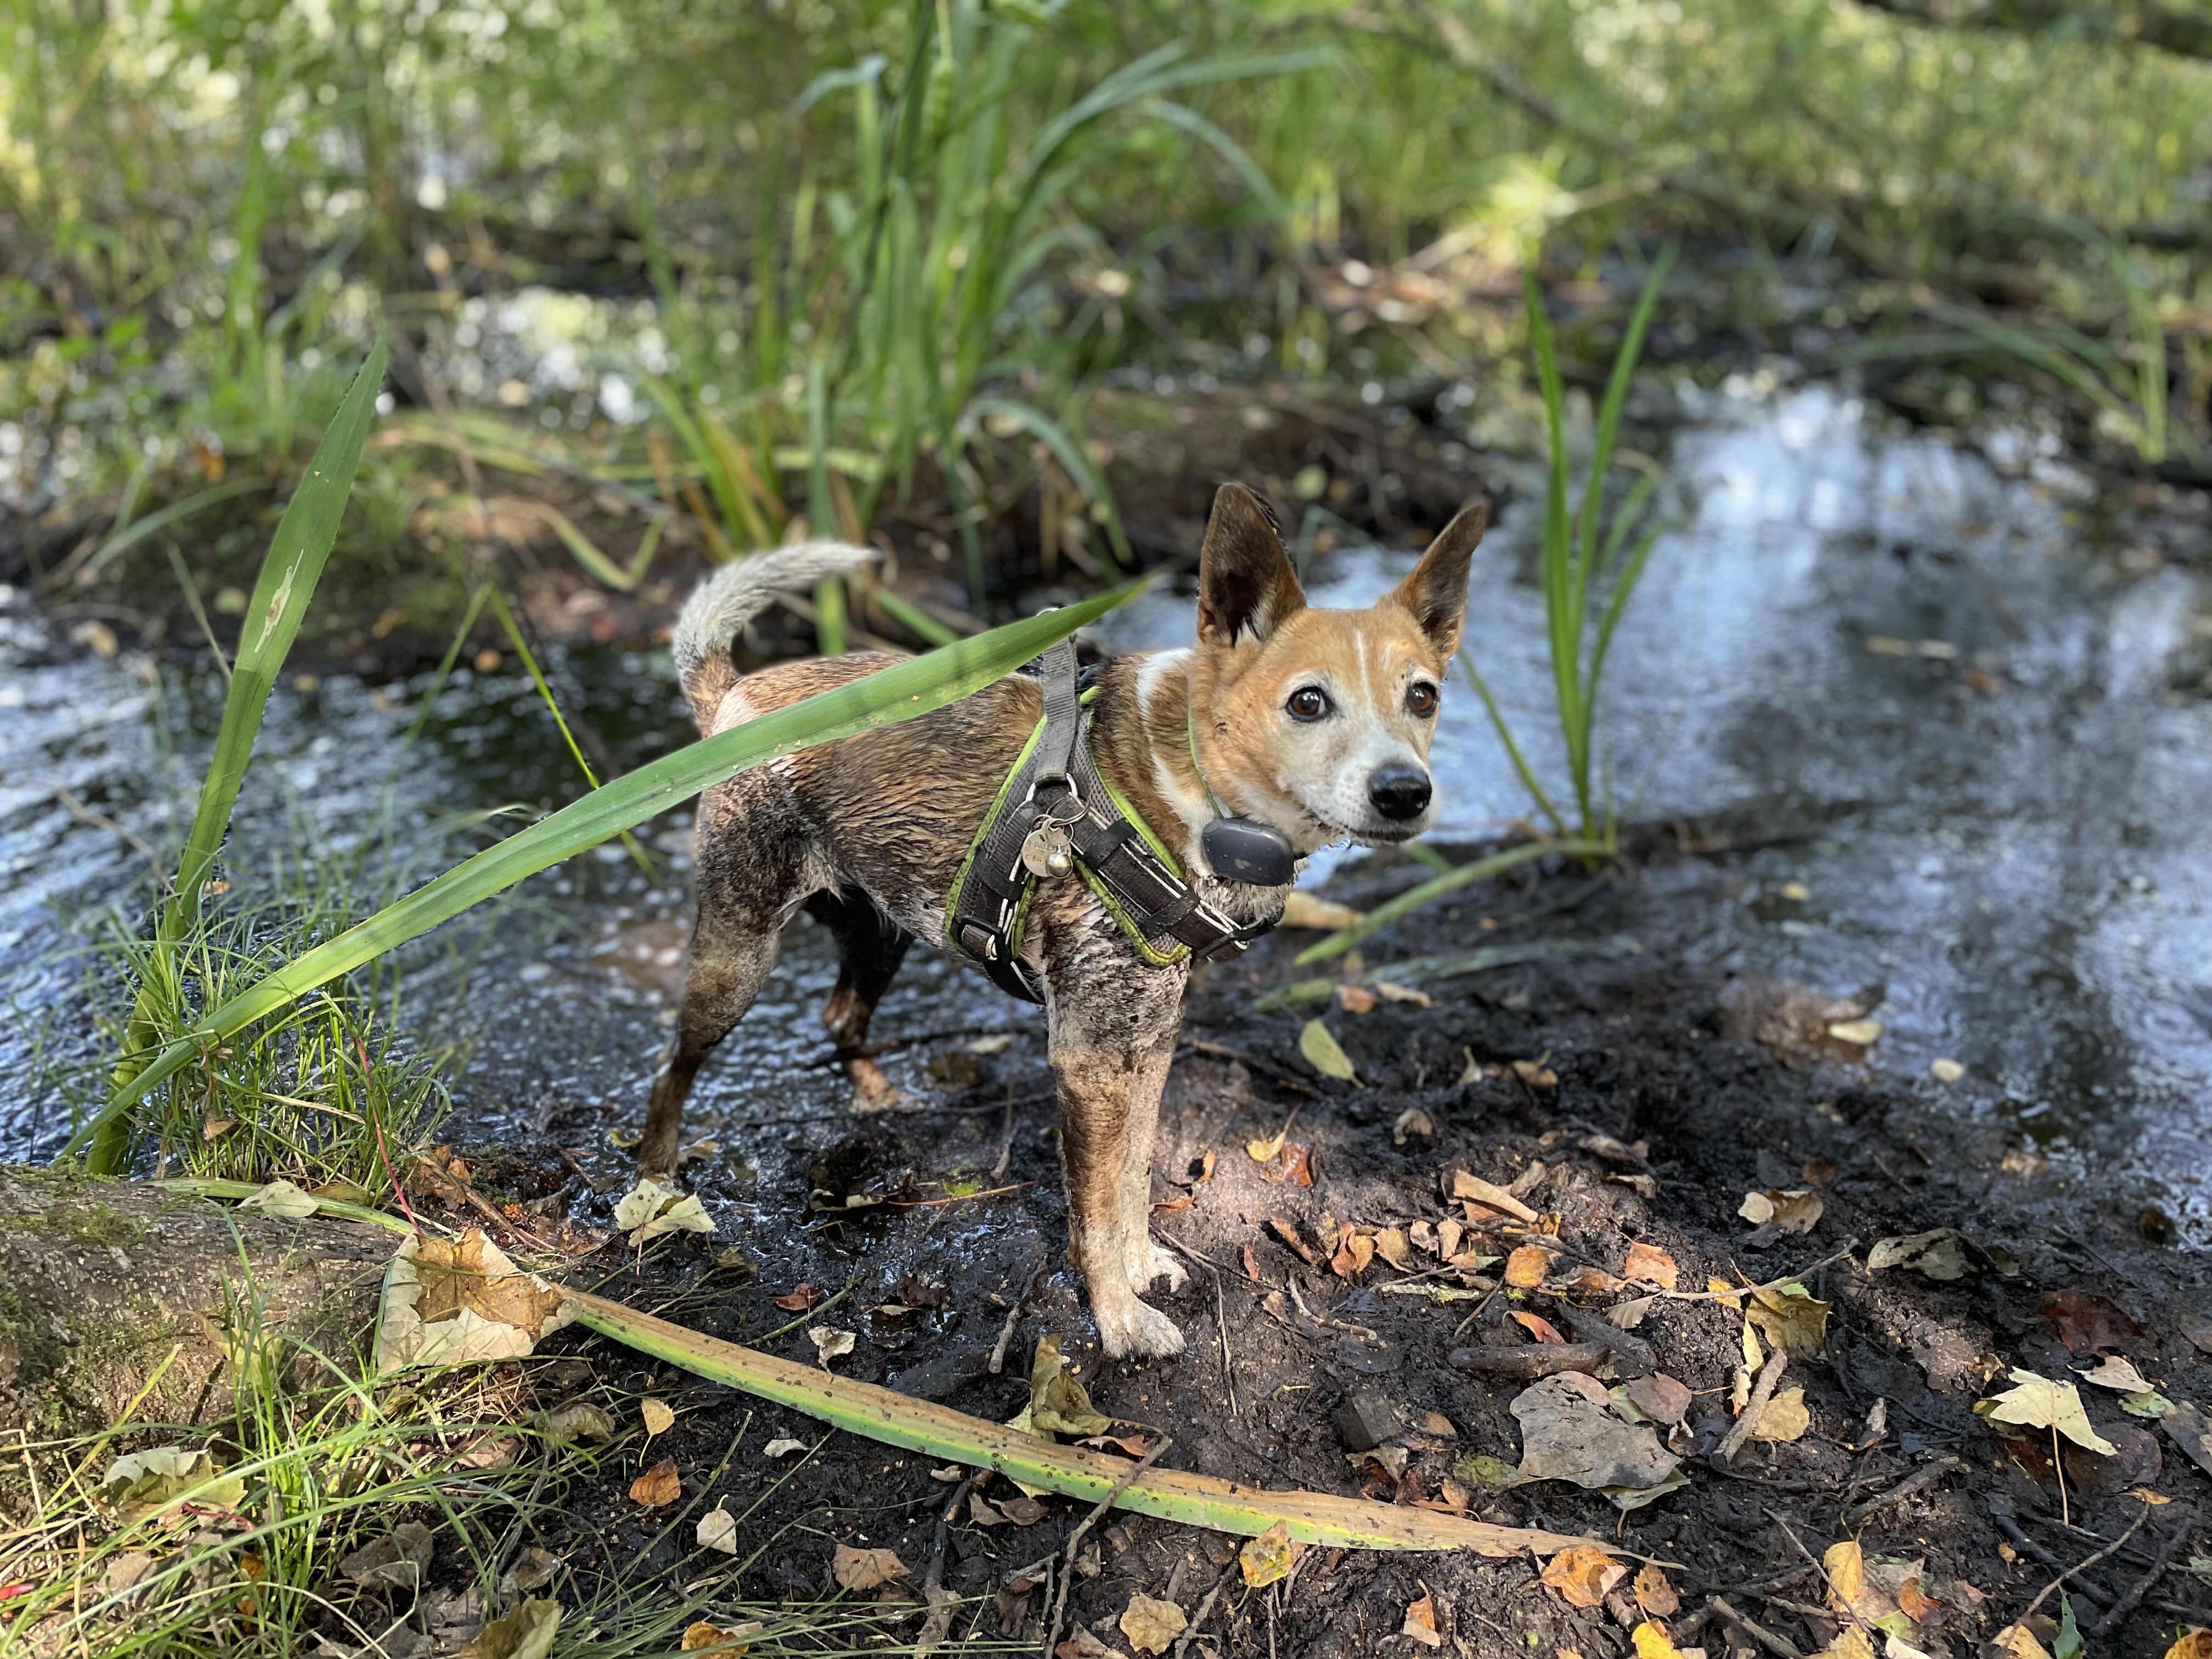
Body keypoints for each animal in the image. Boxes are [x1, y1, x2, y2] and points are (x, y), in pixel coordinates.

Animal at [646, 484, 1495, 1362]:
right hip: (738, 955)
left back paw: (877, 1099)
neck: (1192, 785)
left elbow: (1131, 1181)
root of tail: (731, 697)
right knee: (672, 1068)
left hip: (879, 937)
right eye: (1307, 702)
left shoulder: (1148, 1044)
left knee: (840, 1014)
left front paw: (1141, 1265)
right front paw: (1118, 1320)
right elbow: (1093, 1213)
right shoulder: (1090, 1059)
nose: (1406, 792)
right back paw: (654, 1183)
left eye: (1423, 695)